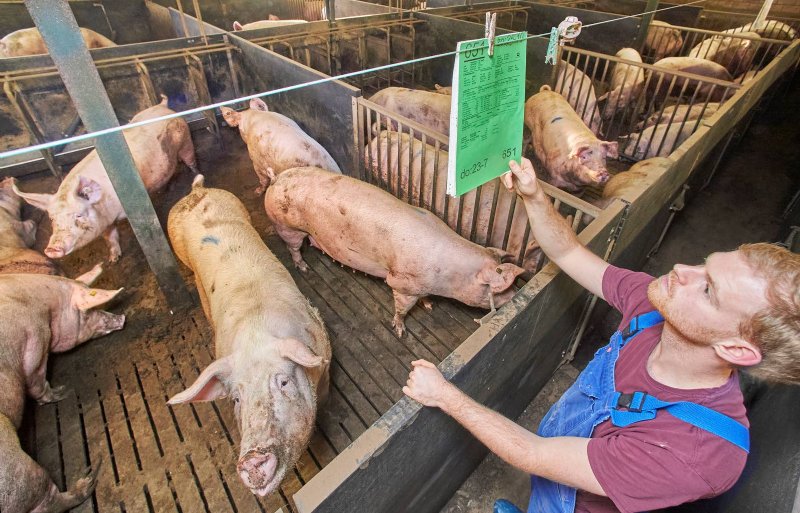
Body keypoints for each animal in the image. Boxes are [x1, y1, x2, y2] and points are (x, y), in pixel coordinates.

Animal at [13, 94, 197, 262]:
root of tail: (162, 106)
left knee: (190, 160)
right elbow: (110, 237)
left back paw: (193, 174)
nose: (51, 249)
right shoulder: (104, 223)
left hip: (186, 141)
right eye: (52, 219)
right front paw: (113, 259)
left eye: (78, 215)